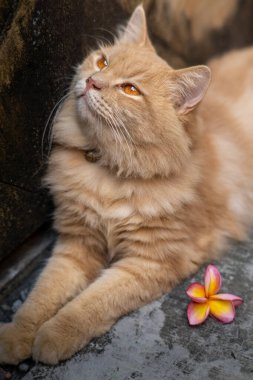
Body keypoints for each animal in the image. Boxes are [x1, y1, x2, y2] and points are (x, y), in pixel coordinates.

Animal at [0, 4, 253, 364]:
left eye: (130, 89)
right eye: (102, 62)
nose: (92, 81)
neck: (109, 170)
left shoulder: (149, 262)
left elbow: (90, 303)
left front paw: (53, 336)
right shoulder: (76, 245)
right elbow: (41, 296)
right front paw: (17, 335)